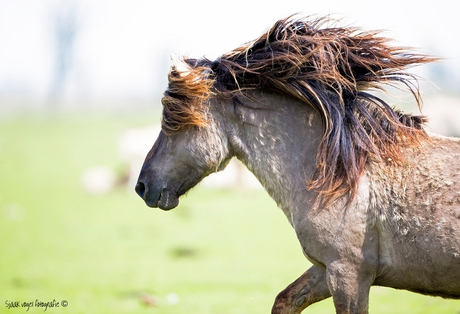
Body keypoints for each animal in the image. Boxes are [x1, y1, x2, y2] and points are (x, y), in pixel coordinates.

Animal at [134, 15, 460, 312]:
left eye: (175, 121)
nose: (142, 186)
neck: (341, 174)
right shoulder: (326, 269)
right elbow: (285, 300)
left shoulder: (348, 273)